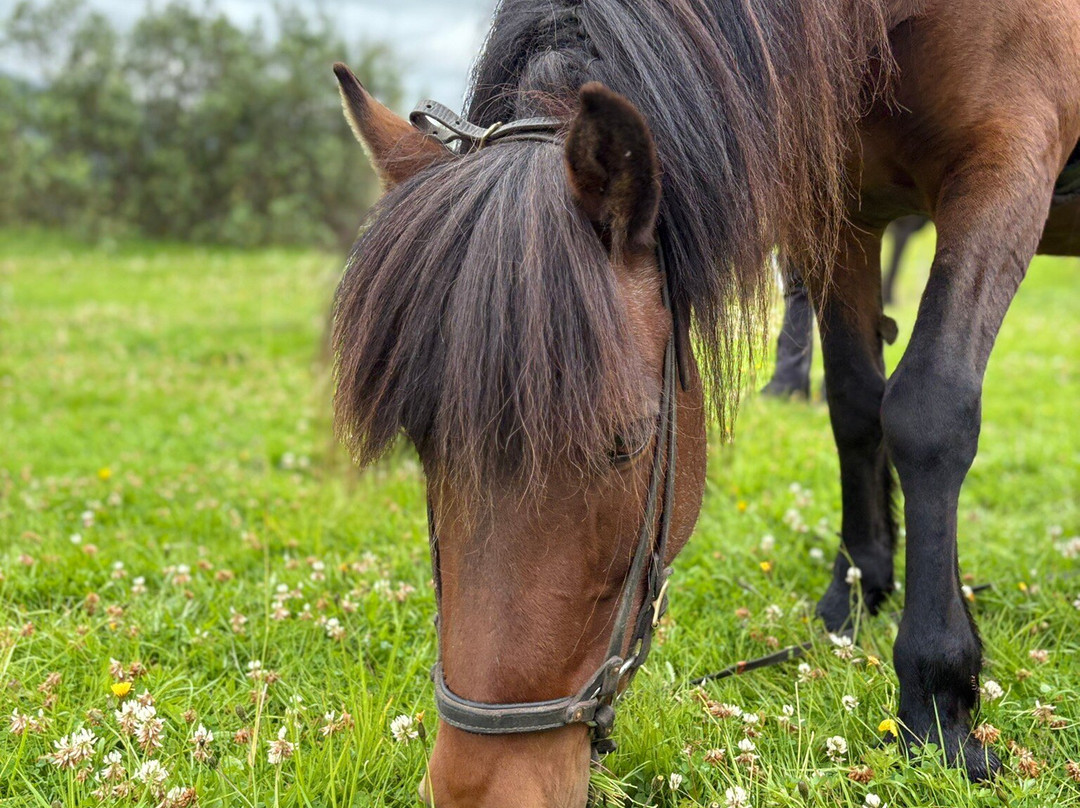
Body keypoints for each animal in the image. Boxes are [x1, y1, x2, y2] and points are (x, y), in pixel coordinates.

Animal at [330, 0, 1080, 804]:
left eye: (625, 441)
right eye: (421, 443)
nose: (476, 788)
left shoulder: (1006, 162)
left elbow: (928, 410)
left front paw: (938, 703)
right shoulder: (841, 206)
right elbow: (854, 406)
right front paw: (855, 594)